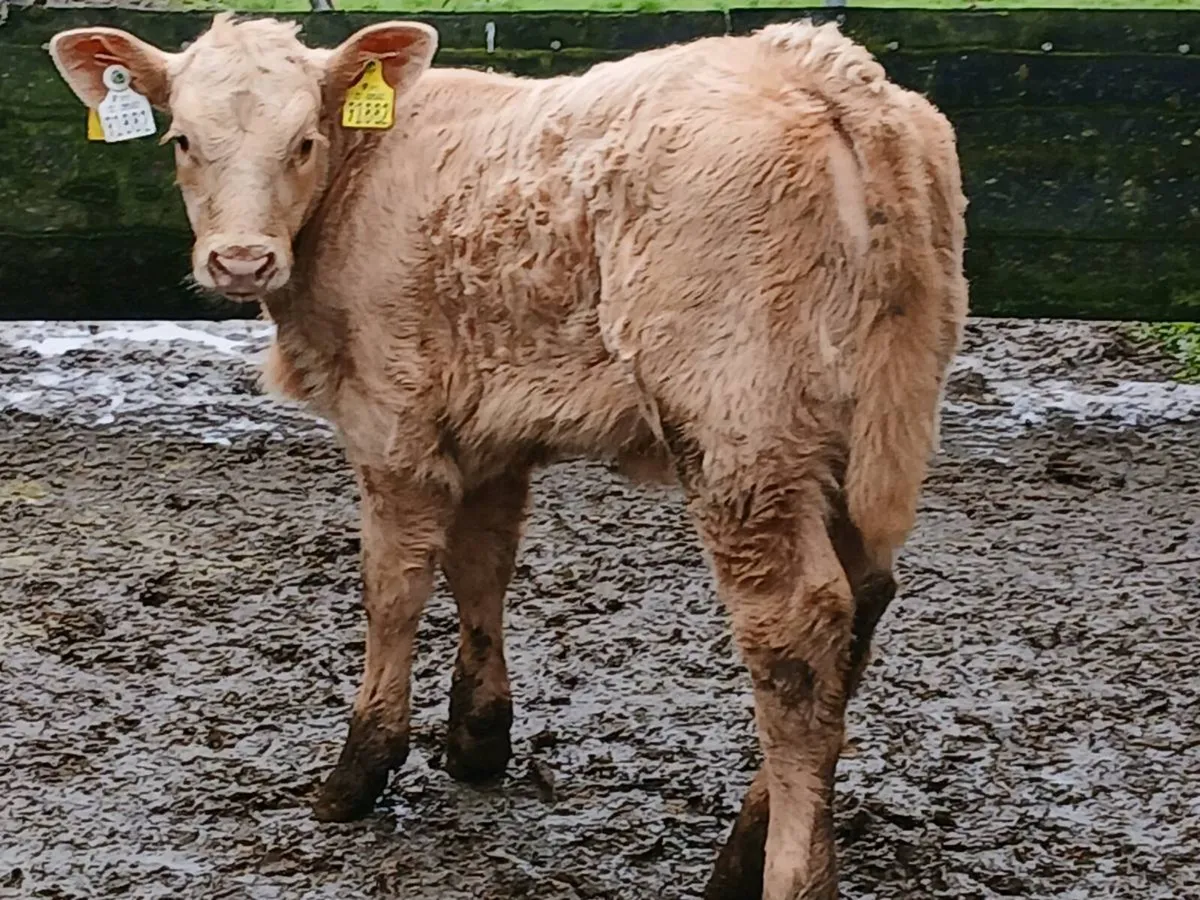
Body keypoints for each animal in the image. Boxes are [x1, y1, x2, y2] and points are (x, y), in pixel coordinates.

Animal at [49, 14, 968, 898]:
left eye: (304, 140)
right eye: (181, 140)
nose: (241, 260)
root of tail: (822, 68)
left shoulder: (391, 419)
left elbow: (393, 587)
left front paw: (358, 771)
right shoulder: (488, 425)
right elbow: (481, 564)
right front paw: (478, 740)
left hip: (738, 425)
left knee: (796, 638)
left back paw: (779, 875)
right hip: (866, 424)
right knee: (861, 606)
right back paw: (745, 850)